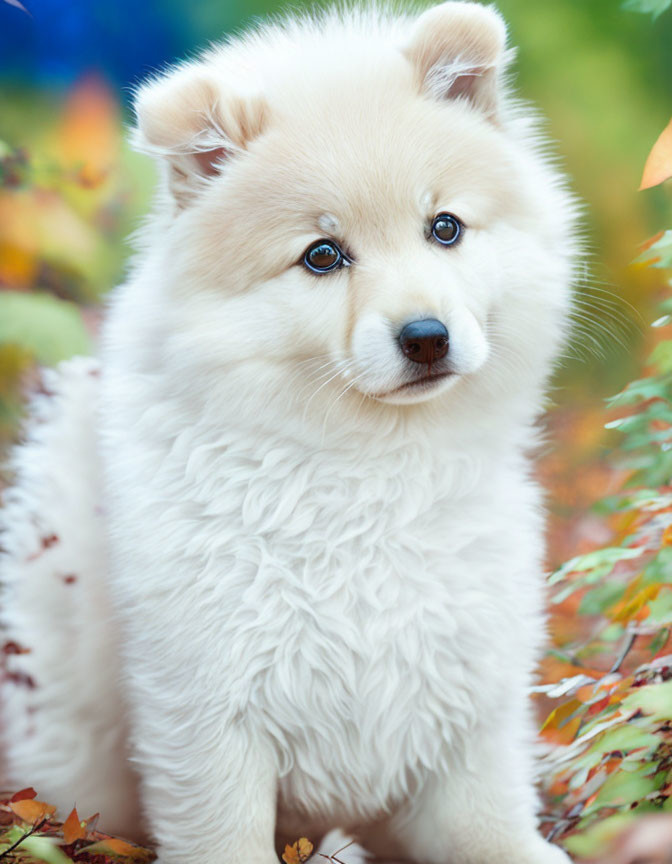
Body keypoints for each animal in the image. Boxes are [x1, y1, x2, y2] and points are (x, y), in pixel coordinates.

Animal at [0, 3, 576, 860]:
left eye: (445, 227)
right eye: (323, 255)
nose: (426, 336)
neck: (368, 467)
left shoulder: (464, 684)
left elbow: (487, 820)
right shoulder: (207, 706)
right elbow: (223, 833)